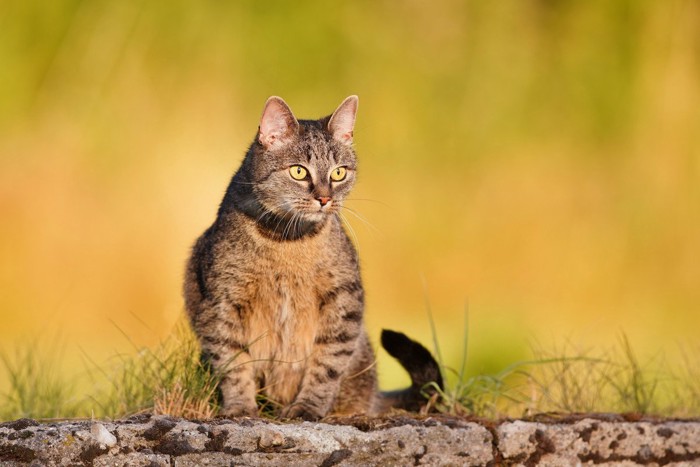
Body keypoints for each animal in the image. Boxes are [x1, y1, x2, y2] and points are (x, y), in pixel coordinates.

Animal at [183, 96, 440, 420]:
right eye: (299, 171)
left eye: (339, 173)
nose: (325, 198)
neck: (286, 239)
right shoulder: (219, 301)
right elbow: (232, 363)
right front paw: (240, 406)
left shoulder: (344, 299)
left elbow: (327, 364)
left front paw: (307, 407)